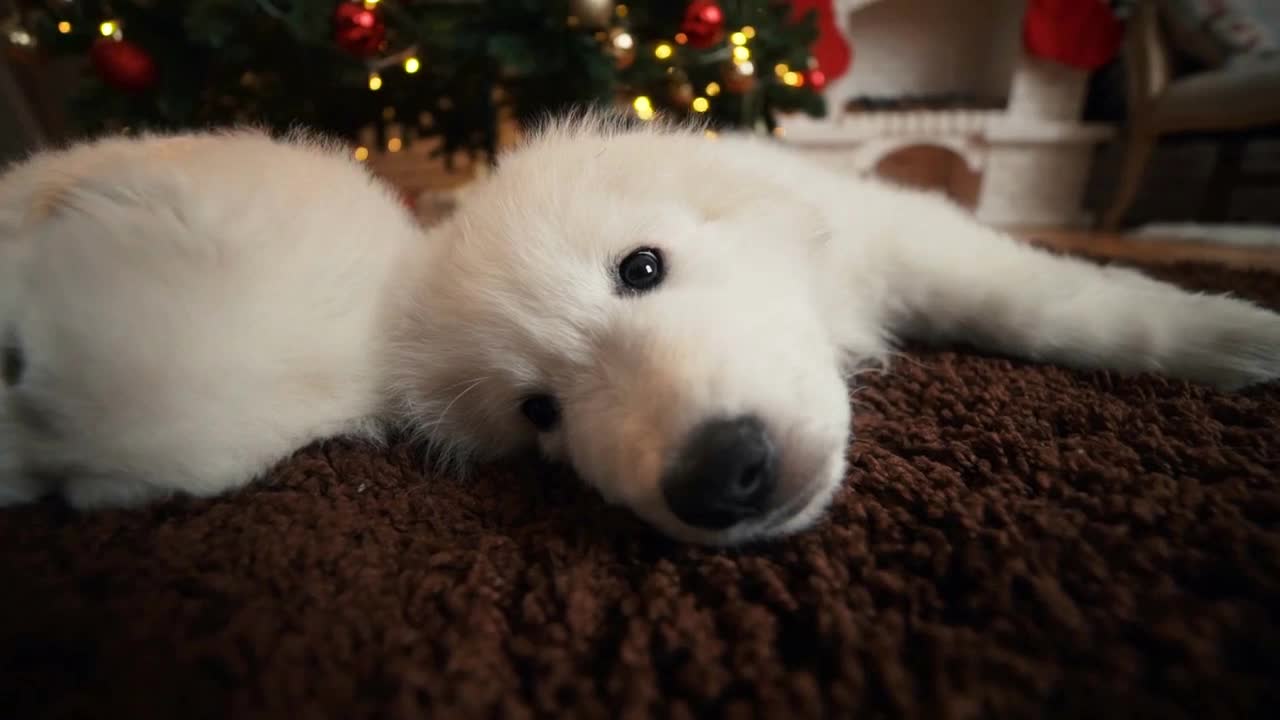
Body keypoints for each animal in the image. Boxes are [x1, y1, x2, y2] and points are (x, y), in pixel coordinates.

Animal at [2, 112, 1280, 540]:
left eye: (643, 267)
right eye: (540, 413)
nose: (721, 478)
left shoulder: (903, 231)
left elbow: (1049, 296)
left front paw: (1231, 337)